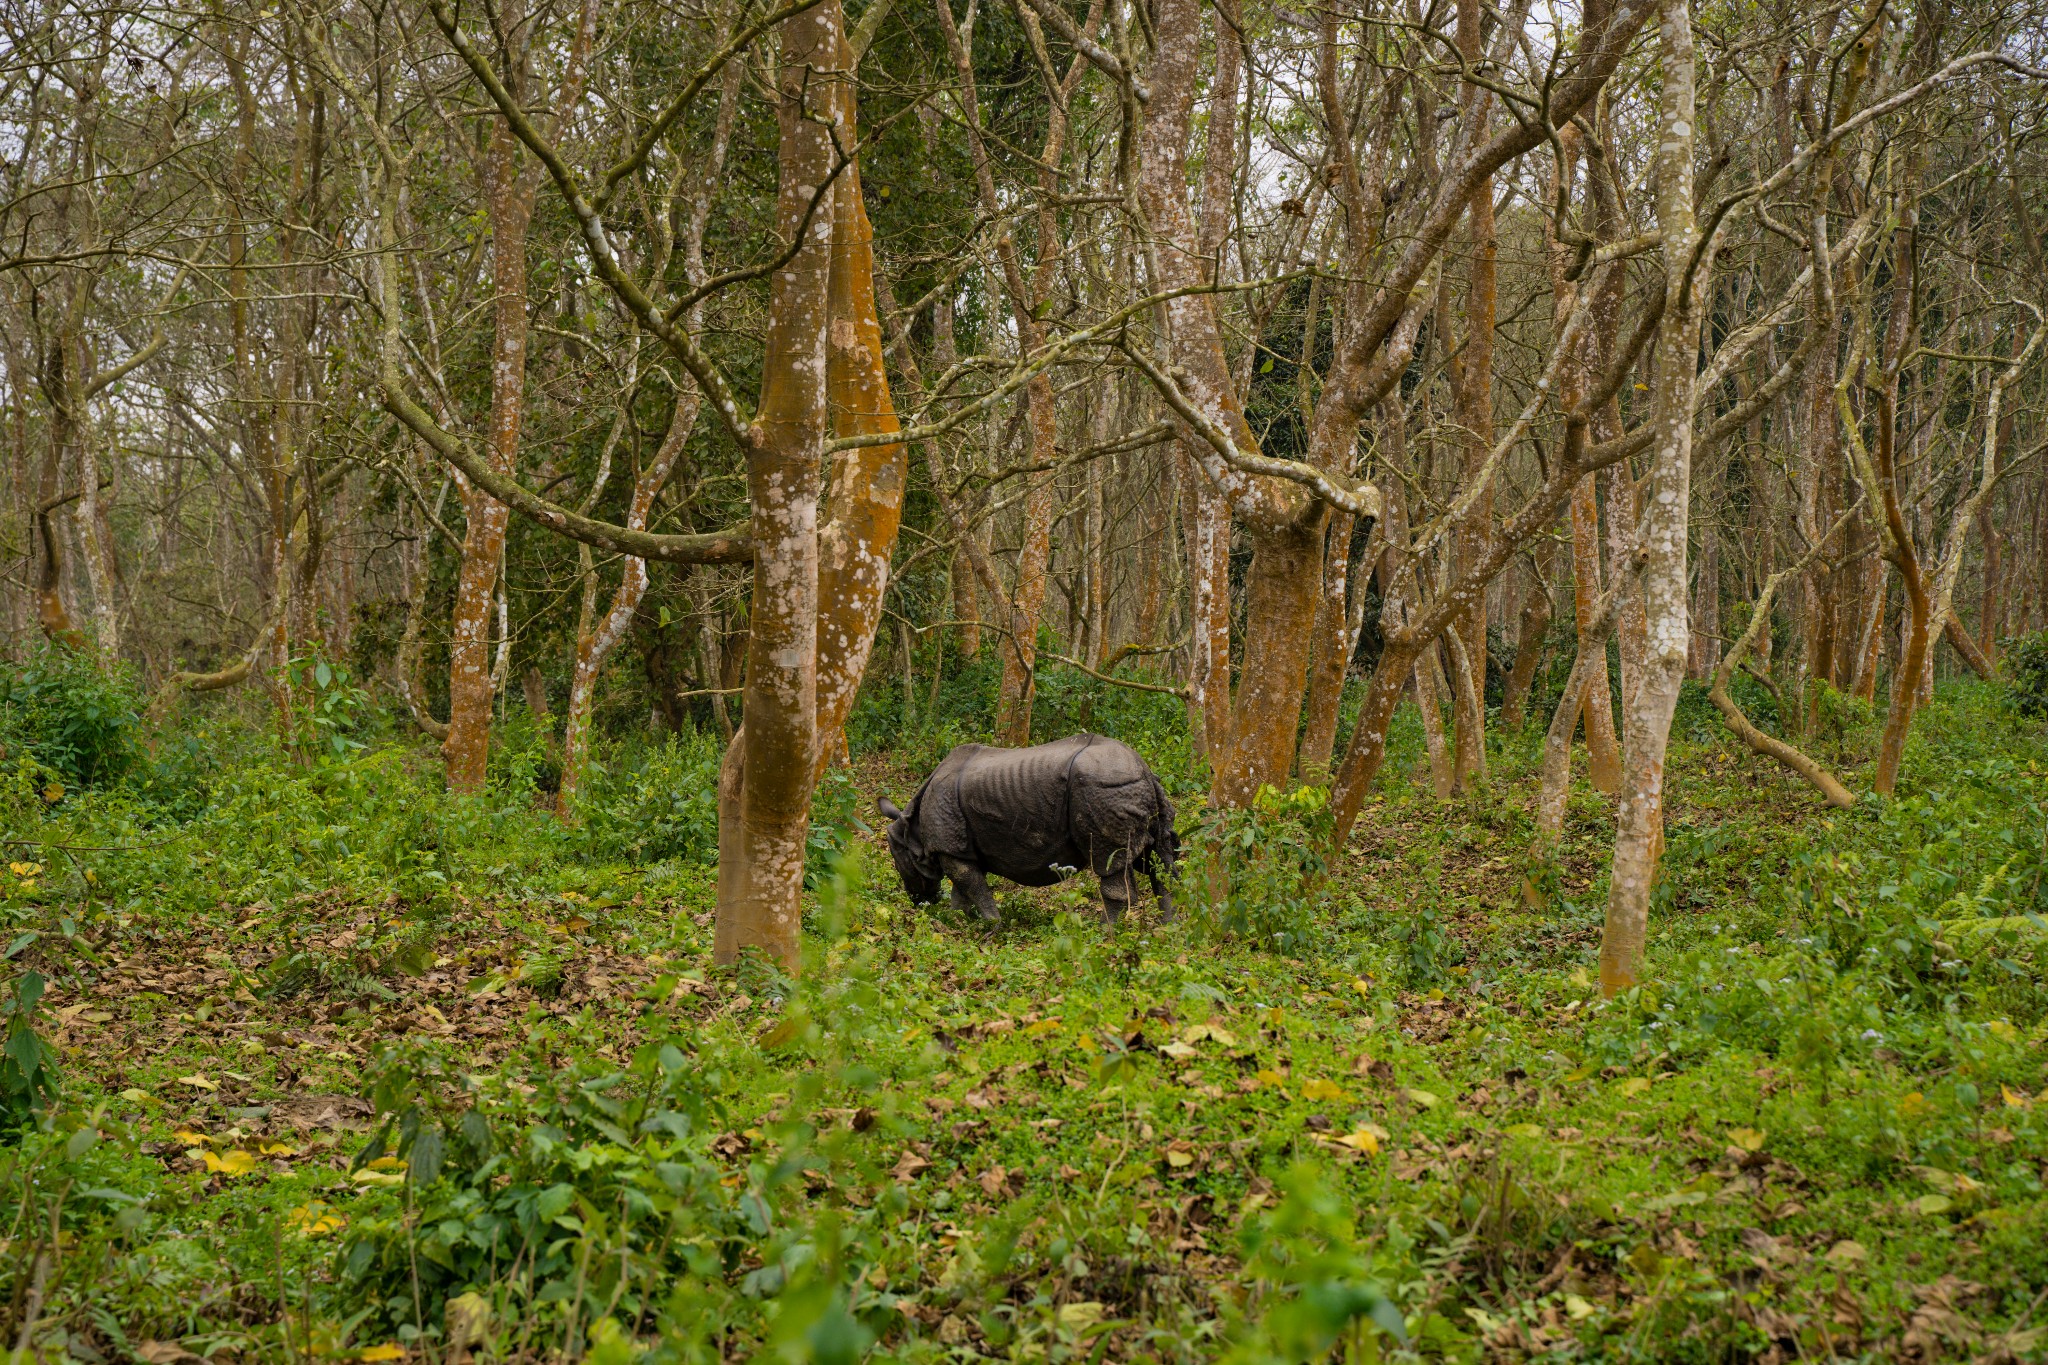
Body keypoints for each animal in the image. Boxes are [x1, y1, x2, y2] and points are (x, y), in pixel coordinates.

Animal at [872, 736, 1179, 929]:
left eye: (899, 864)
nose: (917, 900)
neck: (911, 829)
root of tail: (1145, 769)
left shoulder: (948, 846)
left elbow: (969, 883)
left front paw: (992, 925)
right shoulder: (960, 848)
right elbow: (963, 888)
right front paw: (956, 921)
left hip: (1104, 787)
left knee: (1110, 860)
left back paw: (1102, 934)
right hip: (1133, 789)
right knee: (1153, 861)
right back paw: (1169, 931)